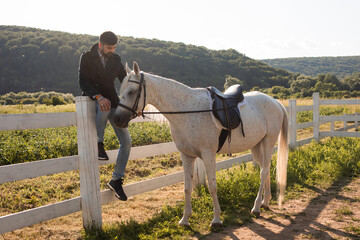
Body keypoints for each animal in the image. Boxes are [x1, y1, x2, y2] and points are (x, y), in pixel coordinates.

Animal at [114, 62, 288, 227]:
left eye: (131, 91)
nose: (117, 119)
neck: (188, 110)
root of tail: (275, 102)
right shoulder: (187, 156)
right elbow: (187, 188)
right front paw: (185, 219)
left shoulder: (208, 154)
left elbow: (212, 186)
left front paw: (216, 219)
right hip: (256, 146)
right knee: (265, 168)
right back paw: (265, 202)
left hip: (268, 141)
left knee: (263, 172)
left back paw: (256, 207)